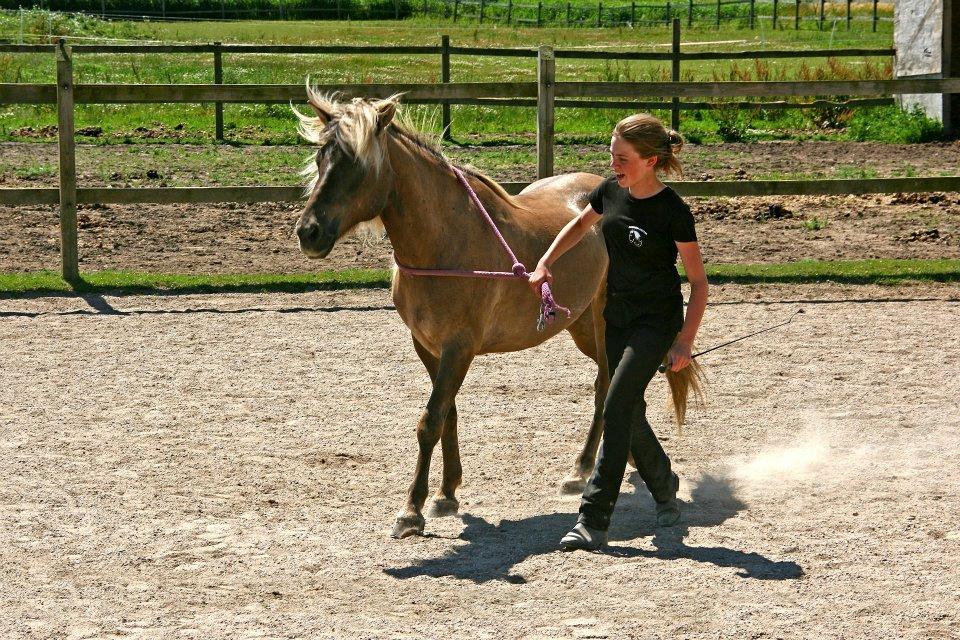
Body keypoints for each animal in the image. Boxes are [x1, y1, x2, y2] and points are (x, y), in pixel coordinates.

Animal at [290, 91, 696, 540]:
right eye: (321, 157)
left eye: (357, 165)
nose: (308, 233)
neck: (445, 243)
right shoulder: (429, 347)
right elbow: (447, 414)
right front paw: (446, 494)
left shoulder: (459, 348)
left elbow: (429, 421)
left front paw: (411, 511)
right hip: (582, 328)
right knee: (614, 390)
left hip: (601, 325)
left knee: (608, 387)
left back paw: (585, 470)